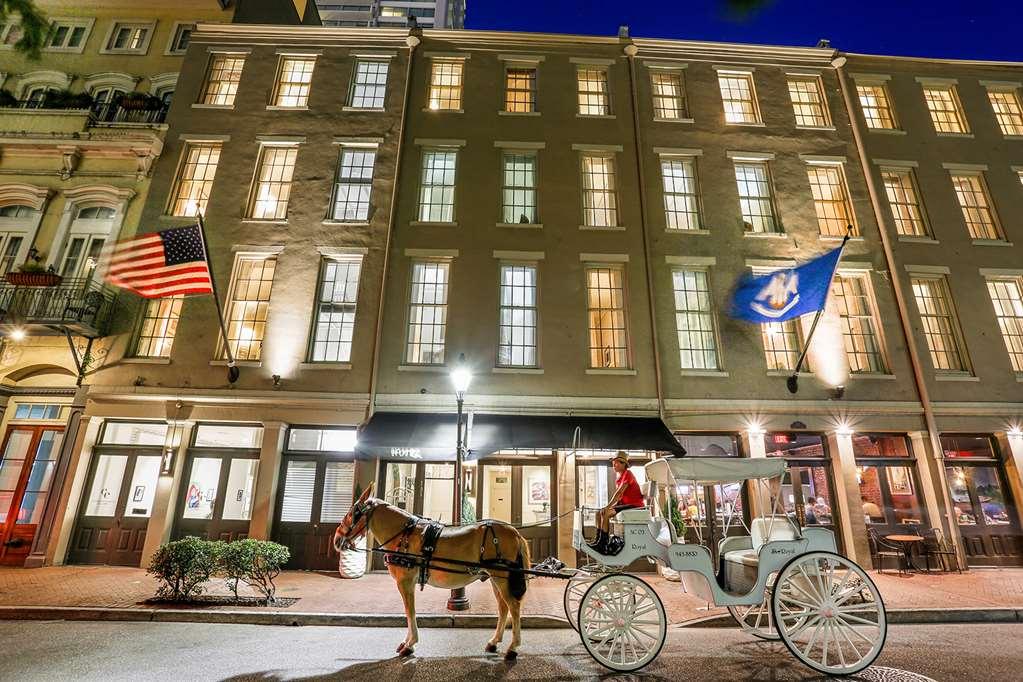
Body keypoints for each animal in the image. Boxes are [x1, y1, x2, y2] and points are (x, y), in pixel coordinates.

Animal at [333, 488, 531, 658]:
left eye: (353, 513)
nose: (336, 539)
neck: (403, 535)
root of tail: (514, 532)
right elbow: (409, 611)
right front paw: (407, 642)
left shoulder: (405, 582)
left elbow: (409, 611)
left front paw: (409, 644)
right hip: (496, 577)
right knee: (503, 607)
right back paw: (494, 642)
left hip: (501, 577)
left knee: (514, 606)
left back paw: (513, 648)